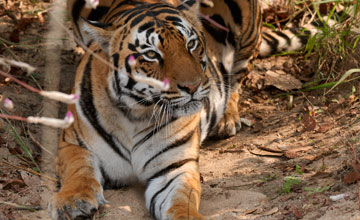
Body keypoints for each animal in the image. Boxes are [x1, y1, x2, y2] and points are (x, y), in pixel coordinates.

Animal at [50, 0, 340, 218]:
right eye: (151, 54)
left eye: (190, 44)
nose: (193, 86)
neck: (135, 113)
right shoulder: (73, 142)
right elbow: (78, 169)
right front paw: (72, 201)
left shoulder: (175, 166)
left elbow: (182, 199)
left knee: (238, 78)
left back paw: (227, 120)